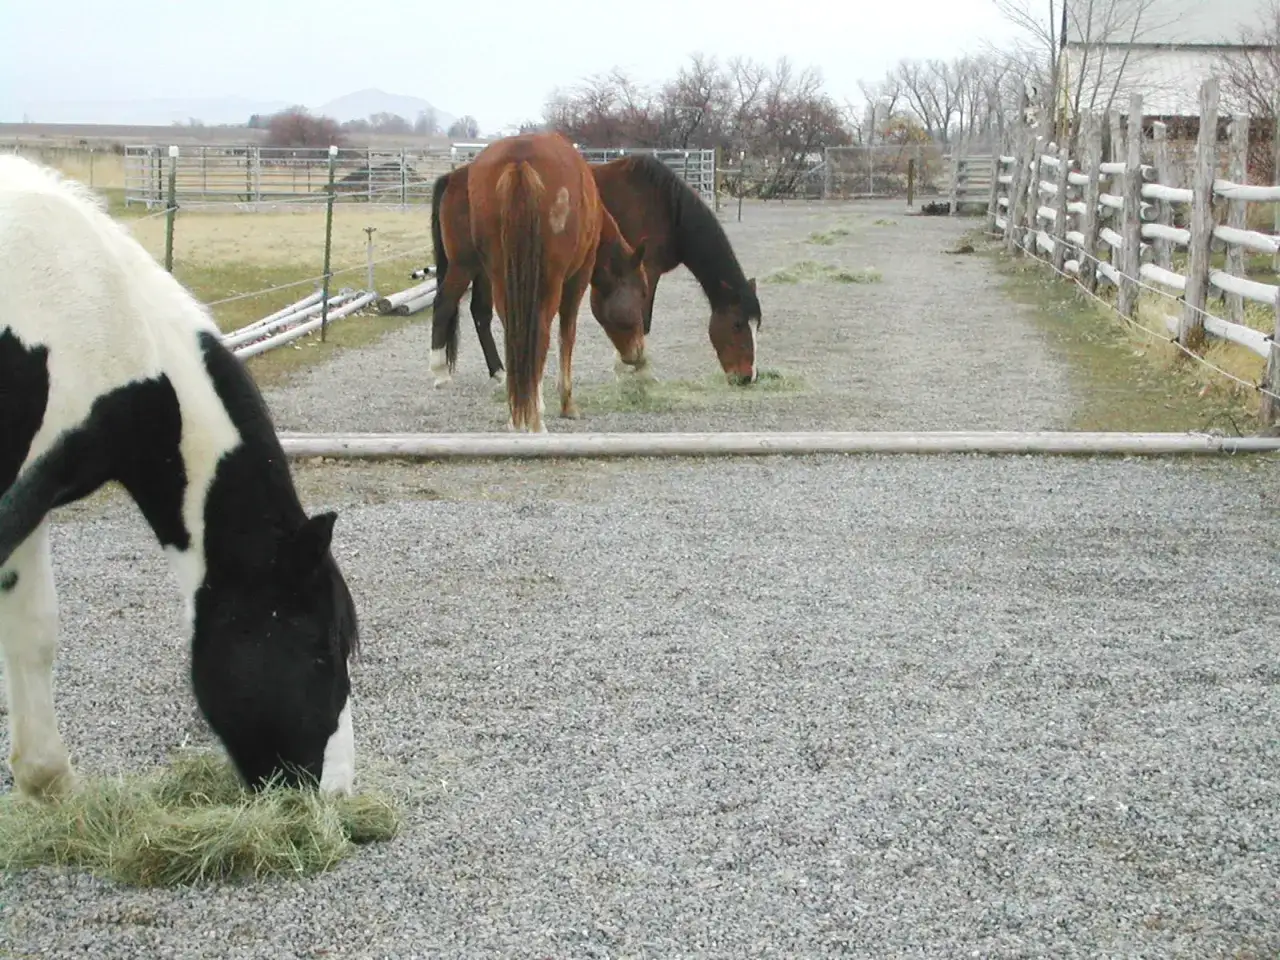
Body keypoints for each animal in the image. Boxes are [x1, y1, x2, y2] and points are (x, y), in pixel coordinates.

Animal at [428, 151, 762, 387]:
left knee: (480, 314)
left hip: (486, 267)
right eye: (737, 325)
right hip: (465, 264)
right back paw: (440, 372)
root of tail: (453, 177)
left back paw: (498, 373)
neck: (664, 205)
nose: (747, 377)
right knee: (444, 304)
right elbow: (643, 317)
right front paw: (634, 369)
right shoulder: (646, 269)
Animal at [430, 132, 650, 431]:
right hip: (473, 267)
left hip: (493, 274)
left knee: (493, 319)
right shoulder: (577, 278)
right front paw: (566, 404)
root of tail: (519, 160)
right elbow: (566, 335)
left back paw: (508, 391)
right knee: (449, 304)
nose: (637, 354)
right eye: (642, 293)